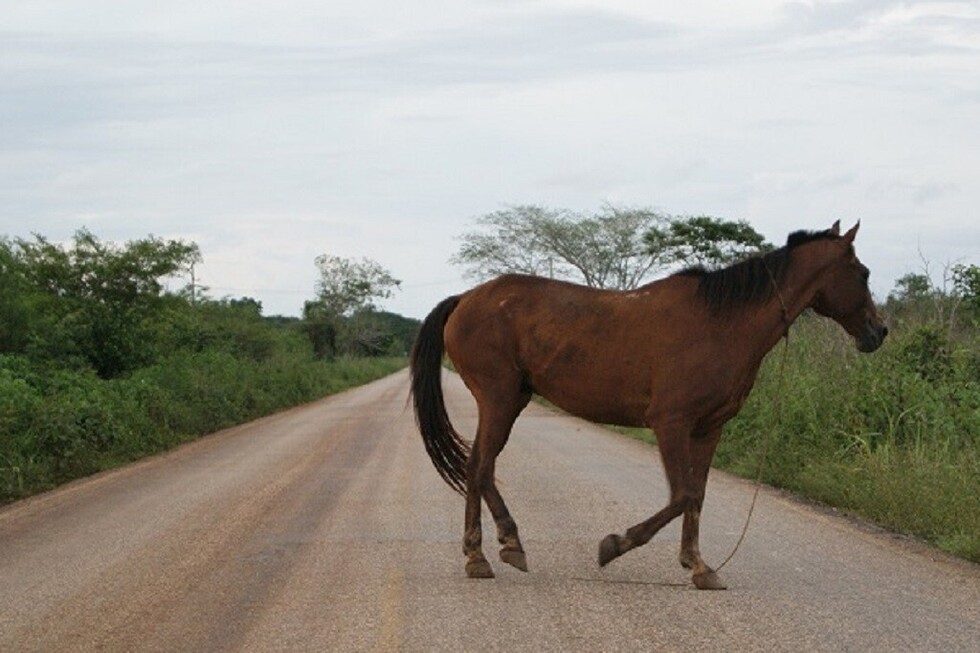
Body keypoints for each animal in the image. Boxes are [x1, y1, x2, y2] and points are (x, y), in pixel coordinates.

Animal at [409, 221, 887, 589]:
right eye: (862, 273)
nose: (878, 332)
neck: (722, 324)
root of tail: (464, 299)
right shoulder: (670, 422)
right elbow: (681, 495)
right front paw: (615, 546)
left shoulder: (709, 427)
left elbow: (697, 496)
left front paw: (699, 566)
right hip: (501, 399)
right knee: (479, 467)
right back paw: (495, 550)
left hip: (509, 400)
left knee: (479, 466)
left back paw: (489, 551)